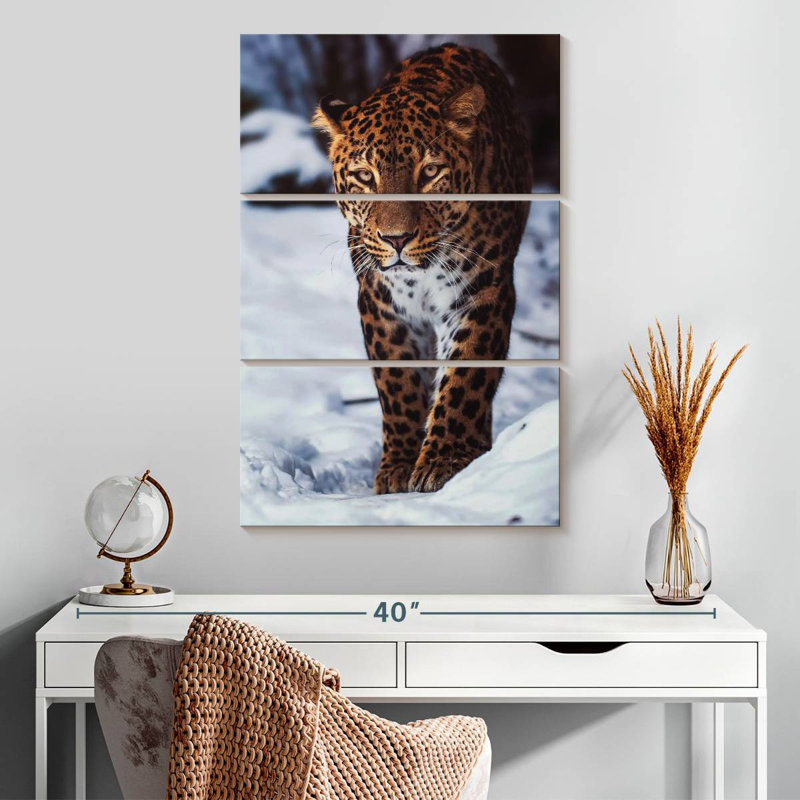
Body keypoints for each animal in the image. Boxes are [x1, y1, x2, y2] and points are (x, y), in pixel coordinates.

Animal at [313, 44, 534, 494]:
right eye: (365, 176)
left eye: (430, 172)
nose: (397, 239)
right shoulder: (380, 300)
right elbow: (397, 385)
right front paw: (398, 467)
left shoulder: (482, 290)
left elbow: (466, 377)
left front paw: (445, 459)